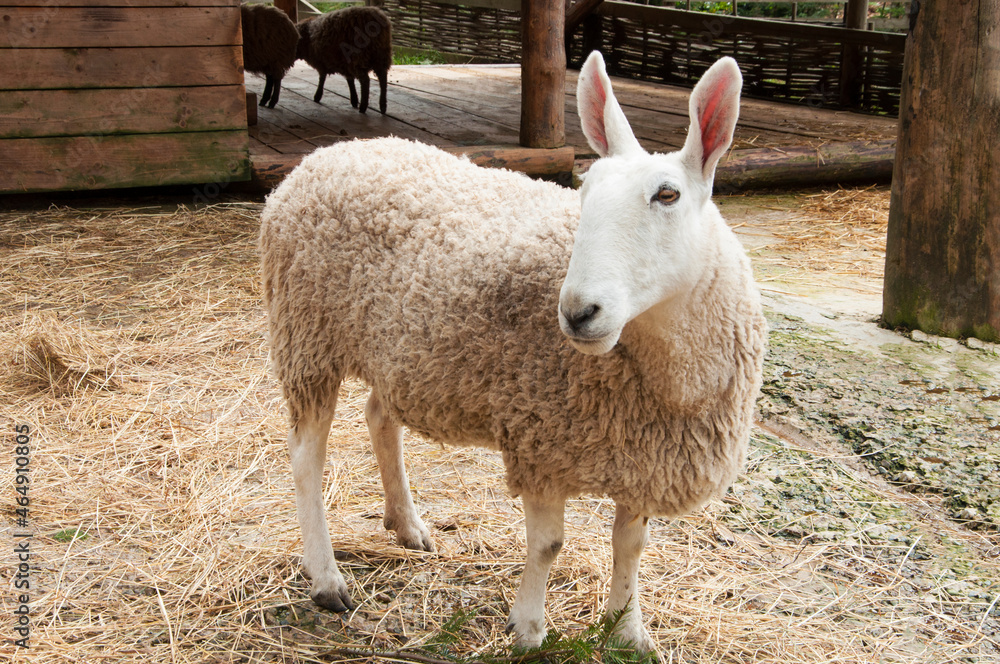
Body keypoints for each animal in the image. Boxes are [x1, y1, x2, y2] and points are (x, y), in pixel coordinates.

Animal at [258, 51, 766, 652]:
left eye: (668, 194)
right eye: (584, 191)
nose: (578, 312)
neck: (669, 382)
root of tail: (325, 154)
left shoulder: (643, 457)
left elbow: (630, 546)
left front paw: (626, 629)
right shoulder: (540, 440)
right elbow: (548, 545)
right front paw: (528, 629)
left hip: (399, 350)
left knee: (380, 416)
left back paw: (407, 524)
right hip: (307, 337)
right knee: (305, 459)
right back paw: (327, 577)